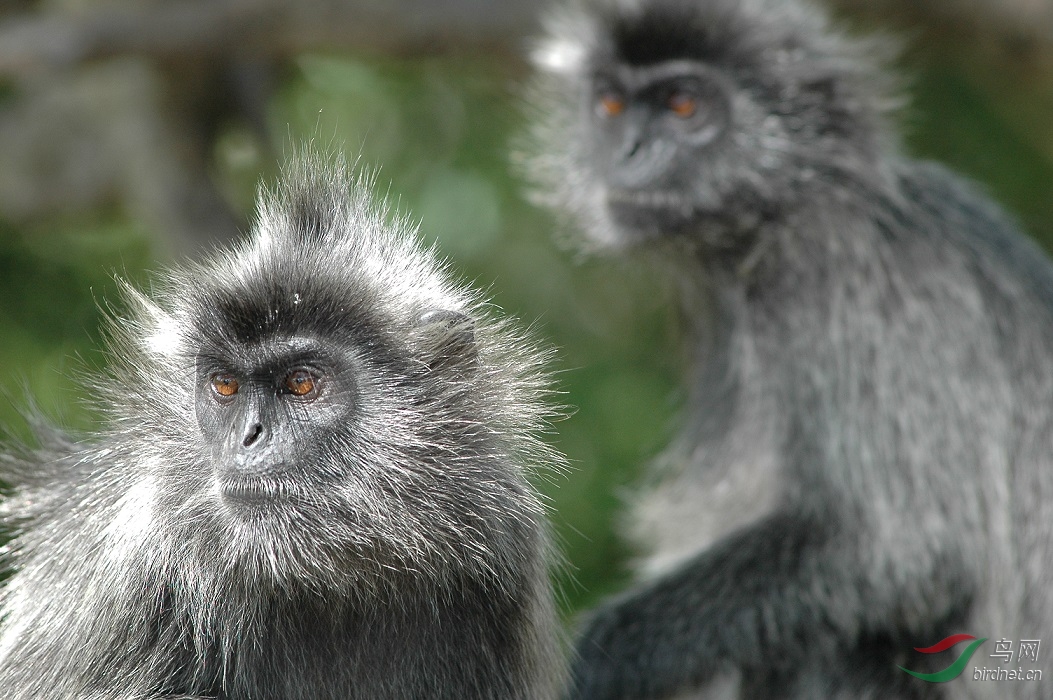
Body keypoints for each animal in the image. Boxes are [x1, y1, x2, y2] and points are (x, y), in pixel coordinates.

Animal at [526, 0, 1053, 694]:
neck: (778, 221)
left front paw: (605, 654)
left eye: (684, 106)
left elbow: (904, 546)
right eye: (611, 106)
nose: (631, 151)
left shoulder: (850, 278)